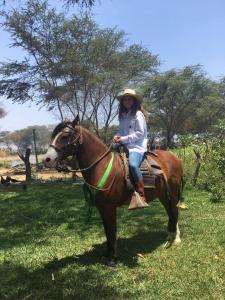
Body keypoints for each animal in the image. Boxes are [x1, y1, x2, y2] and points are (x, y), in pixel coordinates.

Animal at [43, 118, 184, 266]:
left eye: (65, 136)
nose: (46, 159)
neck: (102, 166)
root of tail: (175, 157)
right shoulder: (102, 207)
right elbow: (107, 231)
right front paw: (107, 254)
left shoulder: (110, 207)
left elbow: (112, 231)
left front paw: (113, 259)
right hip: (162, 194)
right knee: (169, 210)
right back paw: (170, 235)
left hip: (173, 192)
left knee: (175, 210)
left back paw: (176, 238)